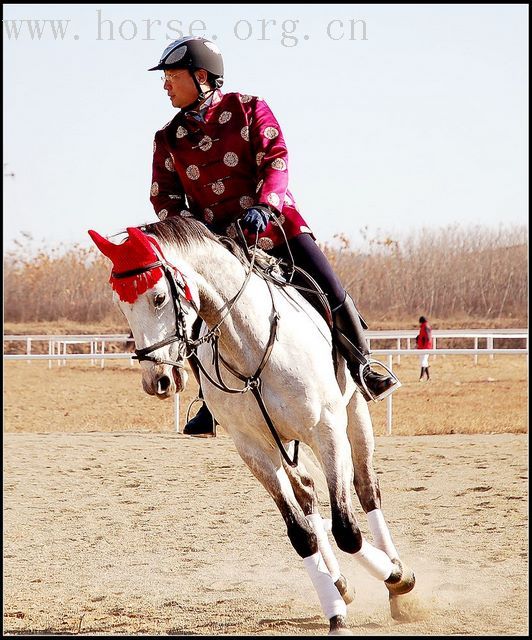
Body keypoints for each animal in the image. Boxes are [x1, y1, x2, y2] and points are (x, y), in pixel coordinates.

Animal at [88, 216, 416, 636]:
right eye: (122, 305)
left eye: (159, 298)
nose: (157, 380)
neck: (250, 345)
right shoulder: (253, 449)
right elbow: (301, 534)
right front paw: (335, 612)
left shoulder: (326, 431)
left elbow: (346, 528)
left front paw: (398, 578)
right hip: (283, 444)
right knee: (308, 496)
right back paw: (339, 585)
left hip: (354, 415)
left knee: (366, 489)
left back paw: (396, 583)